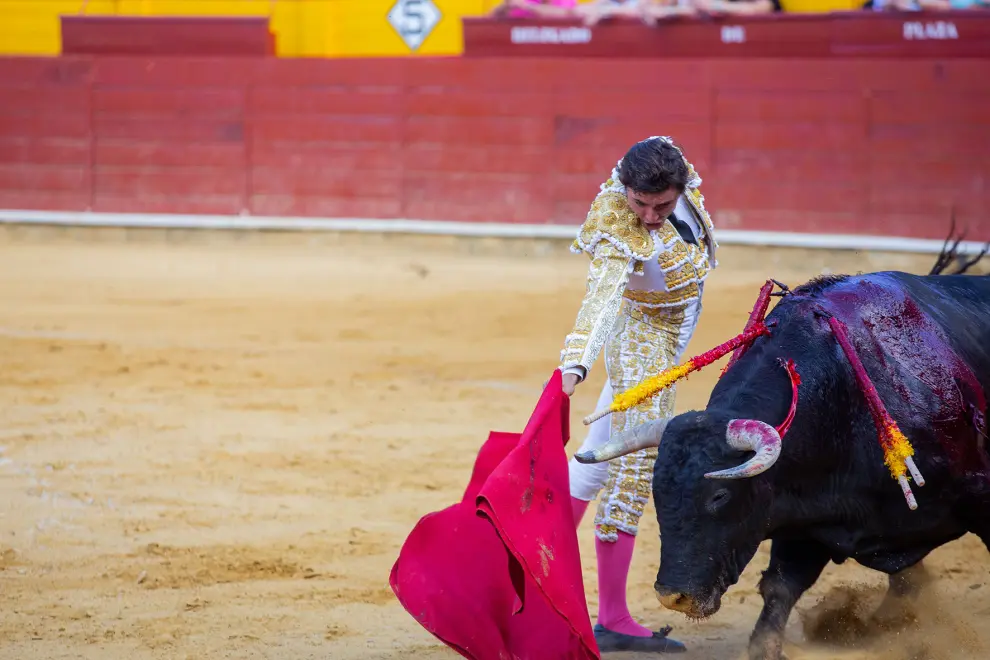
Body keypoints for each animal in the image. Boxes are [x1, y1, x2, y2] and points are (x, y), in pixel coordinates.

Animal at [572, 237, 990, 660]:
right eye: (658, 494)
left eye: (719, 496)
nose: (673, 597)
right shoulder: (802, 513)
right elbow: (780, 586)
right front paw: (765, 646)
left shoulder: (979, 495)